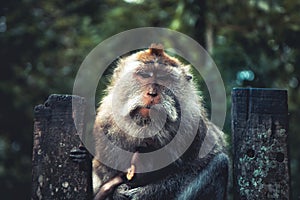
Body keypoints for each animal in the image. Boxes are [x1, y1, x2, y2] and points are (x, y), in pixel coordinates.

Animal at [90, 44, 229, 200]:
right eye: (145, 75)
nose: (152, 94)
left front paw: (146, 193)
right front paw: (116, 192)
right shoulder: (105, 124)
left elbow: (197, 165)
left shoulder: (195, 127)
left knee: (220, 164)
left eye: (163, 77)